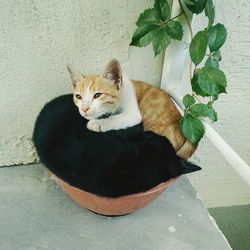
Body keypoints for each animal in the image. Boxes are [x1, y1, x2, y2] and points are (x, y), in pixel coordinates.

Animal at [67, 59, 196, 159]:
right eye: (78, 97)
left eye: (97, 95)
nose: (84, 109)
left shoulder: (133, 114)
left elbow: (116, 118)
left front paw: (97, 123)